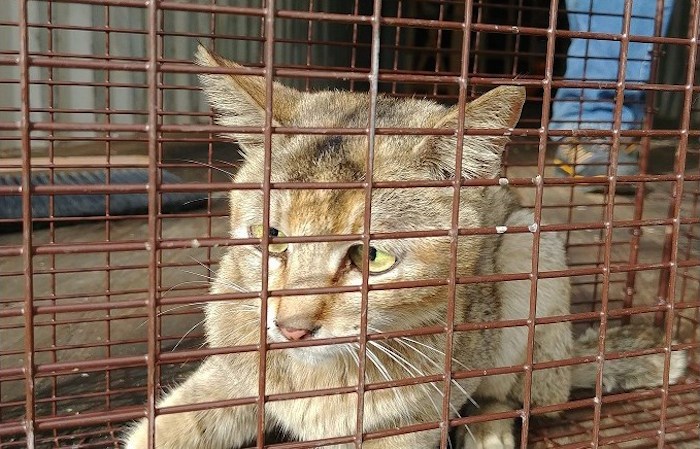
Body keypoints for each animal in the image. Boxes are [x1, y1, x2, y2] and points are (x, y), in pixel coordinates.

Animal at [123, 46, 688, 448]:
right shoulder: (231, 374)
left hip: (530, 248)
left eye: (371, 256)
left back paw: (489, 429)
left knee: (514, 393)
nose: (292, 329)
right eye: (271, 238)